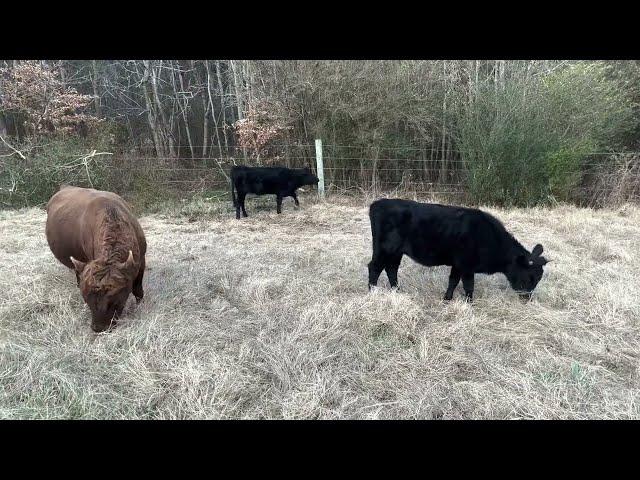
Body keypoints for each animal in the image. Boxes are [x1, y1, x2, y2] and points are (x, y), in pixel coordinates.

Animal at [368, 198, 548, 300]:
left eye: (539, 278)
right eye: (530, 276)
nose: (527, 298)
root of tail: (377, 203)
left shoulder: (458, 265)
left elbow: (453, 281)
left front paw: (448, 298)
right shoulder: (466, 265)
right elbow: (468, 284)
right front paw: (468, 302)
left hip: (396, 252)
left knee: (391, 268)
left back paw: (397, 290)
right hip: (385, 248)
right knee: (375, 267)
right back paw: (372, 292)